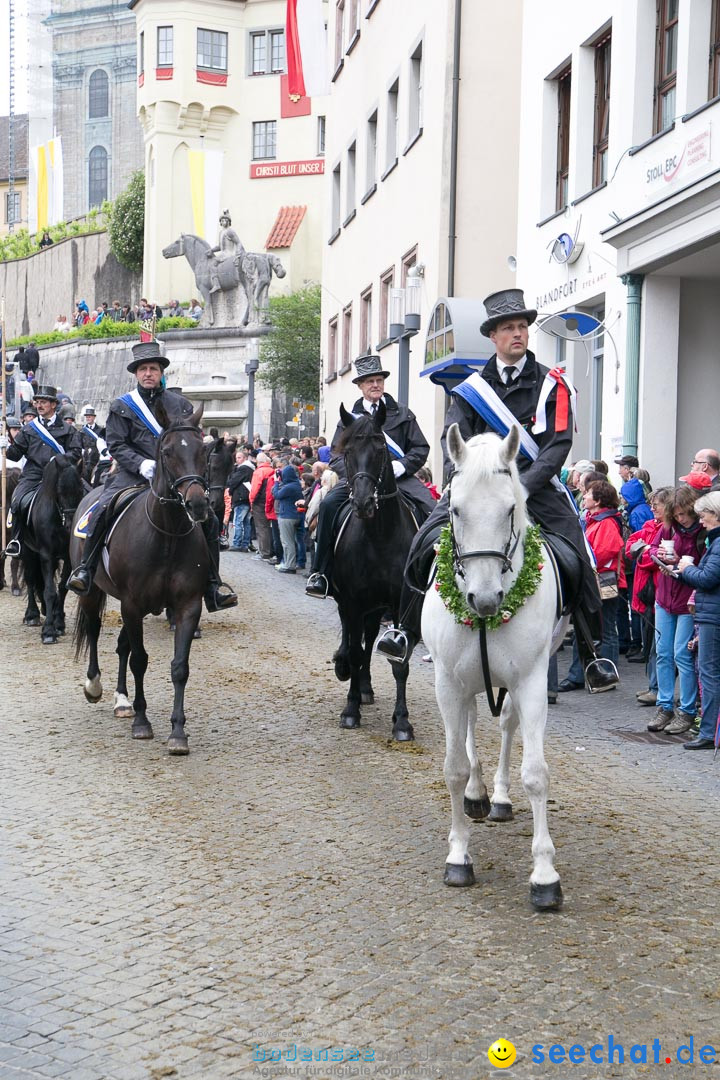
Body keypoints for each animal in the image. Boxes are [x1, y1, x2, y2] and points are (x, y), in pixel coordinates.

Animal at [19, 453, 85, 639]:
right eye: (60, 491)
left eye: (80, 490)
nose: (70, 526)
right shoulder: (46, 555)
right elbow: (49, 590)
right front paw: (48, 630)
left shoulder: (67, 557)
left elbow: (61, 588)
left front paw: (59, 623)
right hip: (28, 552)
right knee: (30, 579)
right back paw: (32, 615)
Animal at [71, 403, 215, 751]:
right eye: (167, 451)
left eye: (203, 450)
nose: (198, 504)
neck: (167, 534)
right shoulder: (132, 604)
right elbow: (140, 660)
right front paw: (142, 722)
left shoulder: (187, 606)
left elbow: (179, 667)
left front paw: (178, 732)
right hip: (94, 592)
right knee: (94, 630)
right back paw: (95, 686)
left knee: (122, 645)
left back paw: (122, 700)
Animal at [330, 406, 416, 743]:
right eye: (346, 451)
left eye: (381, 450)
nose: (363, 503)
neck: (380, 535)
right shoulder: (353, 601)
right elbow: (354, 651)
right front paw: (350, 710)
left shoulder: (402, 603)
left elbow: (398, 660)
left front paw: (402, 722)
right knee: (356, 639)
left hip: (377, 607)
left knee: (368, 639)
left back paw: (365, 686)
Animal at [423, 423, 569, 911]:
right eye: (455, 508)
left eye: (510, 509)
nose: (485, 600)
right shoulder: (447, 682)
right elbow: (453, 767)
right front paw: (458, 856)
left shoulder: (532, 681)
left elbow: (536, 774)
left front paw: (544, 876)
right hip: (461, 682)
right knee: (469, 724)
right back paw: (476, 794)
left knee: (505, 724)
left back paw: (500, 798)